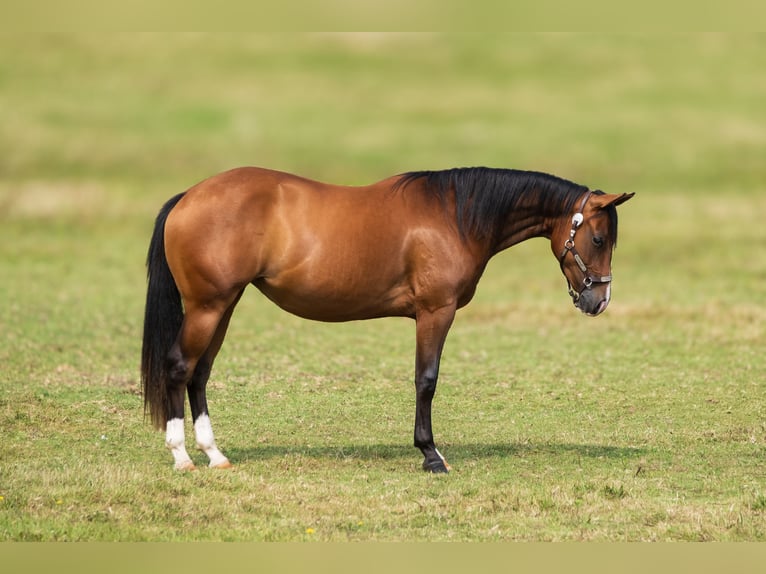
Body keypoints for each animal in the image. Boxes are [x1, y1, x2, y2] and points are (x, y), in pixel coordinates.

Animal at [141, 165, 632, 472]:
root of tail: (189, 197)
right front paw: (431, 455)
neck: (454, 216)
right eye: (598, 238)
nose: (599, 301)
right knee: (179, 368)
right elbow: (426, 380)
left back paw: (214, 454)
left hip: (223, 306)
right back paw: (182, 457)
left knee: (200, 374)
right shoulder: (435, 312)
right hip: (208, 306)